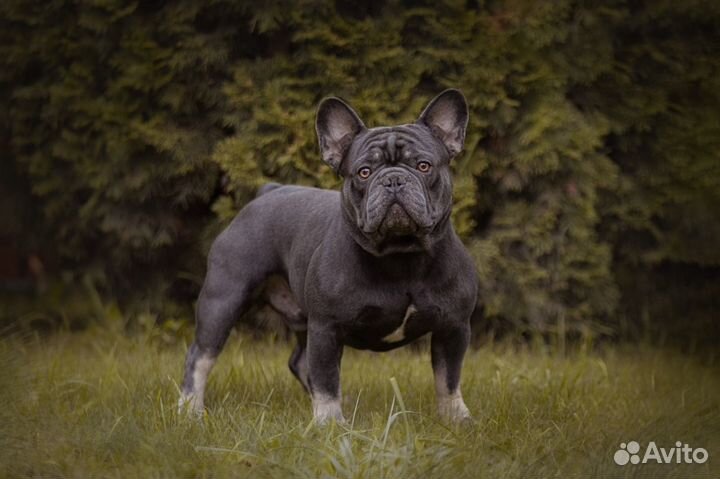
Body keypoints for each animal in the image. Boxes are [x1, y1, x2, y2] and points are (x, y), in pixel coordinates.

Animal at [179, 89, 478, 424]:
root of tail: (268, 191)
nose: (393, 179)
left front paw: (456, 418)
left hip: (298, 317)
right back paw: (189, 409)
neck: (401, 254)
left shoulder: (453, 326)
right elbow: (325, 378)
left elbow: (448, 378)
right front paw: (330, 424)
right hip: (224, 299)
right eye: (364, 172)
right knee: (201, 356)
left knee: (300, 361)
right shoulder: (326, 328)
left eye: (424, 166)